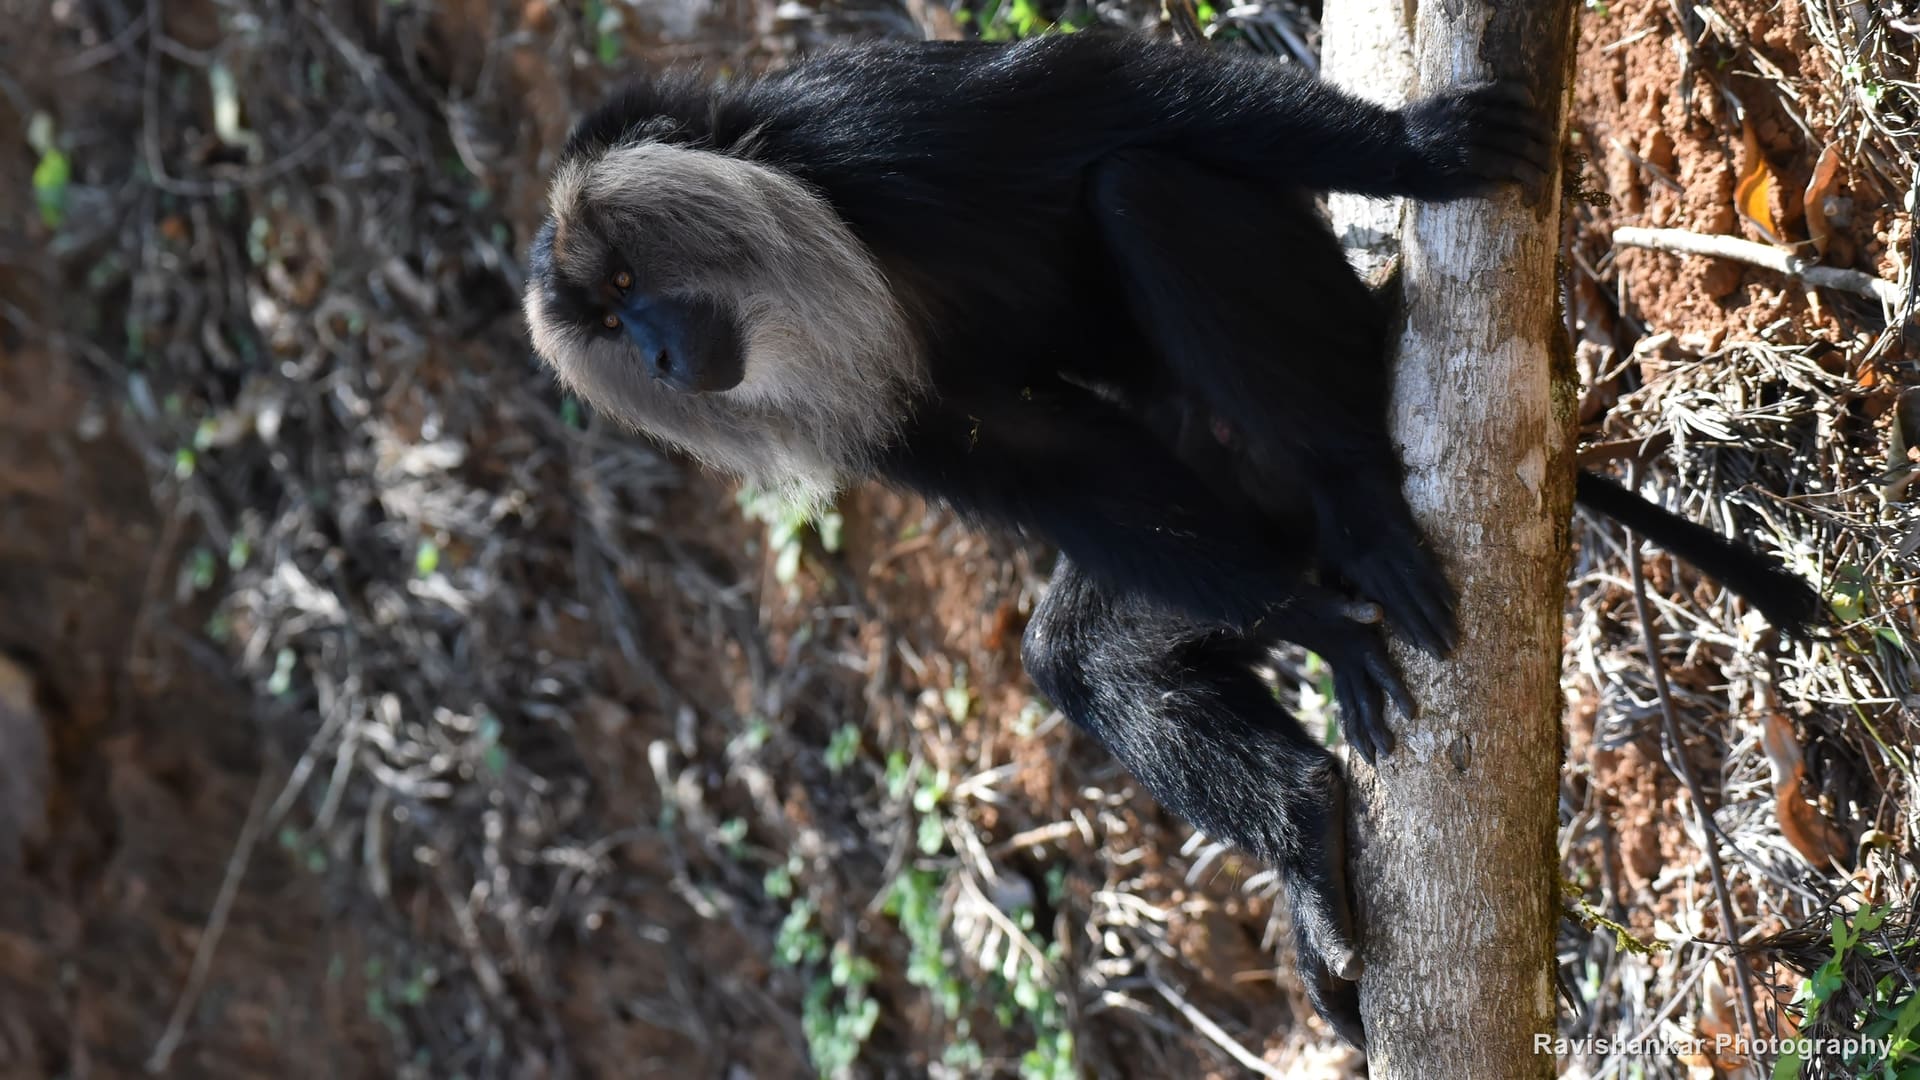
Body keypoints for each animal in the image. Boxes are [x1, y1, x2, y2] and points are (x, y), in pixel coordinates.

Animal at [521, 31, 1822, 1047]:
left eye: (629, 285)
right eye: (610, 325)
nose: (658, 359)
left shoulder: (864, 128)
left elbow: (1106, 95)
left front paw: (1421, 152)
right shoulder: (901, 411)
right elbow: (1039, 463)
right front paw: (1304, 628)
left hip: (1324, 352)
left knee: (1143, 192)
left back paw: (1357, 496)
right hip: (1227, 501)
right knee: (1093, 649)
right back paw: (1302, 821)